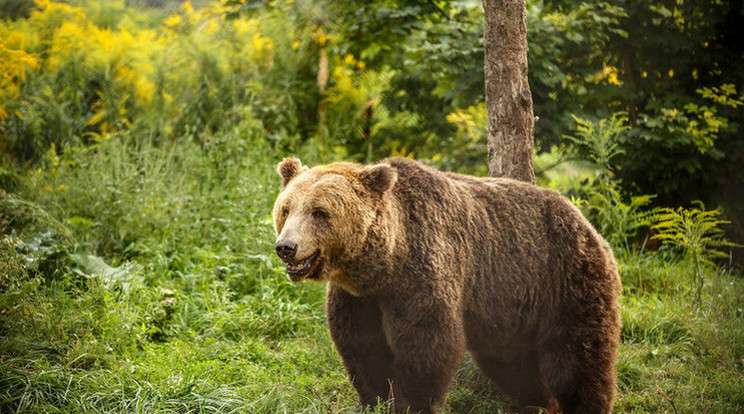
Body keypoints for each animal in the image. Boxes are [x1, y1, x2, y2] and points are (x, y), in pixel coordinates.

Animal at [274, 158, 620, 414]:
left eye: (320, 212)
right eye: (286, 209)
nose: (286, 247)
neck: (385, 263)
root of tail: (587, 223)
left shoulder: (421, 271)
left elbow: (427, 341)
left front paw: (409, 402)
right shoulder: (359, 297)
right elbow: (362, 346)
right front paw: (373, 400)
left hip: (564, 279)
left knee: (577, 356)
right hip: (511, 309)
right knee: (513, 362)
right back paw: (533, 402)